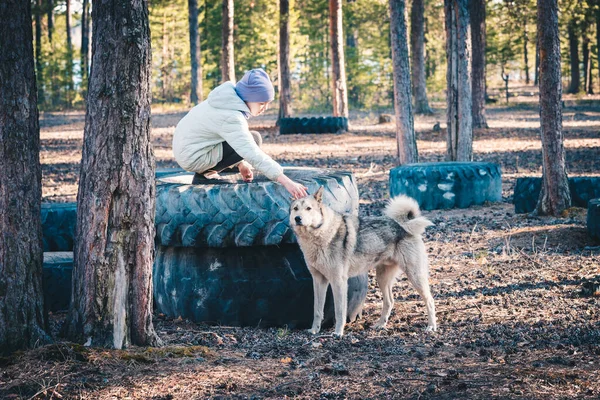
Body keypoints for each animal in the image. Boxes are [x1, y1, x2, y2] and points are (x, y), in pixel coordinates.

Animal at [290, 188, 436, 338]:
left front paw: (338, 332)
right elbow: (317, 310)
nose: (297, 218)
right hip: (382, 279)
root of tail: (402, 225)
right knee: (390, 301)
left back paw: (431, 326)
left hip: (414, 276)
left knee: (430, 300)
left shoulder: (338, 281)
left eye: (308, 208)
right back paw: (380, 325)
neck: (320, 235)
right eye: (295, 209)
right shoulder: (319, 280)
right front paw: (314, 330)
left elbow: (339, 311)